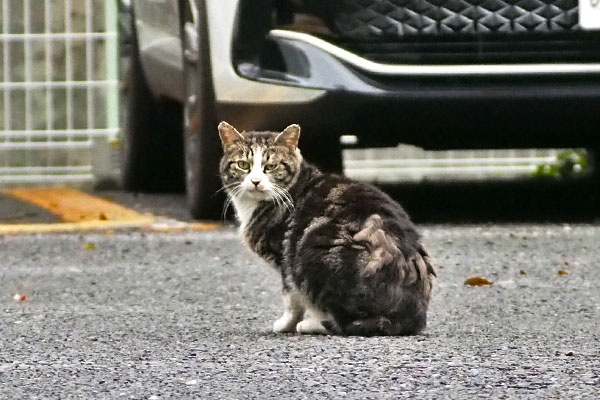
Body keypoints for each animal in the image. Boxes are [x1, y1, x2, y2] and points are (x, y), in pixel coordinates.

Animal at [218, 122, 434, 338]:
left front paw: (286, 324)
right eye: (243, 165)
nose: (255, 181)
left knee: (346, 323)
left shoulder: (285, 259)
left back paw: (311, 324)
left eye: (271, 166)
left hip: (312, 253)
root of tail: (407, 318)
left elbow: (292, 299)